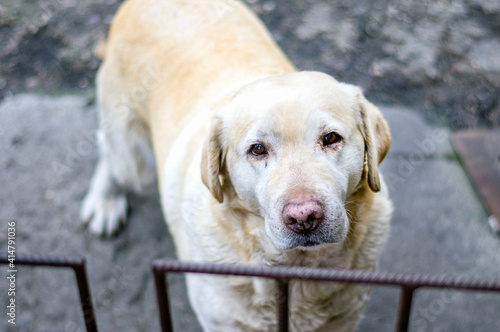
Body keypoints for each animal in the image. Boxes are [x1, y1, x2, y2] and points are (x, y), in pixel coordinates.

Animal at [82, 1, 392, 330]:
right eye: (257, 149)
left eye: (331, 138)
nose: (304, 217)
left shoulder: (345, 317)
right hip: (134, 163)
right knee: (109, 152)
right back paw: (104, 202)